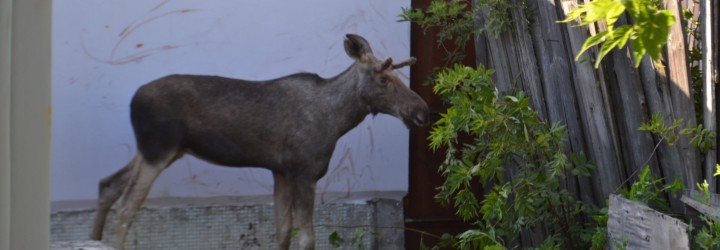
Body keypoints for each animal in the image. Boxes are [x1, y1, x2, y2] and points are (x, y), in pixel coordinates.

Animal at [90, 33, 428, 250]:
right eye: (383, 78)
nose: (422, 112)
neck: (336, 122)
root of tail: (133, 101)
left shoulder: (280, 171)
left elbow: (283, 233)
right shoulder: (303, 171)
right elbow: (306, 237)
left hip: (157, 151)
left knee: (108, 185)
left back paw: (94, 239)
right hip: (158, 150)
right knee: (127, 208)